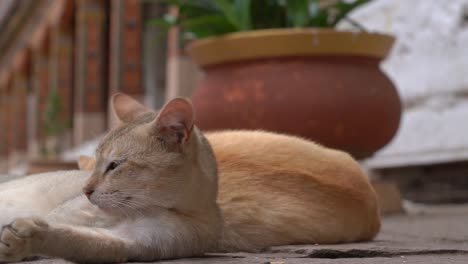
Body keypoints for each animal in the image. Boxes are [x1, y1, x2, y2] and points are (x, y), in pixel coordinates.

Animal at [0, 93, 380, 262]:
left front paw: (24, 240)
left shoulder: (135, 243)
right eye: (97, 163)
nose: (86, 188)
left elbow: (70, 238)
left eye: (115, 165)